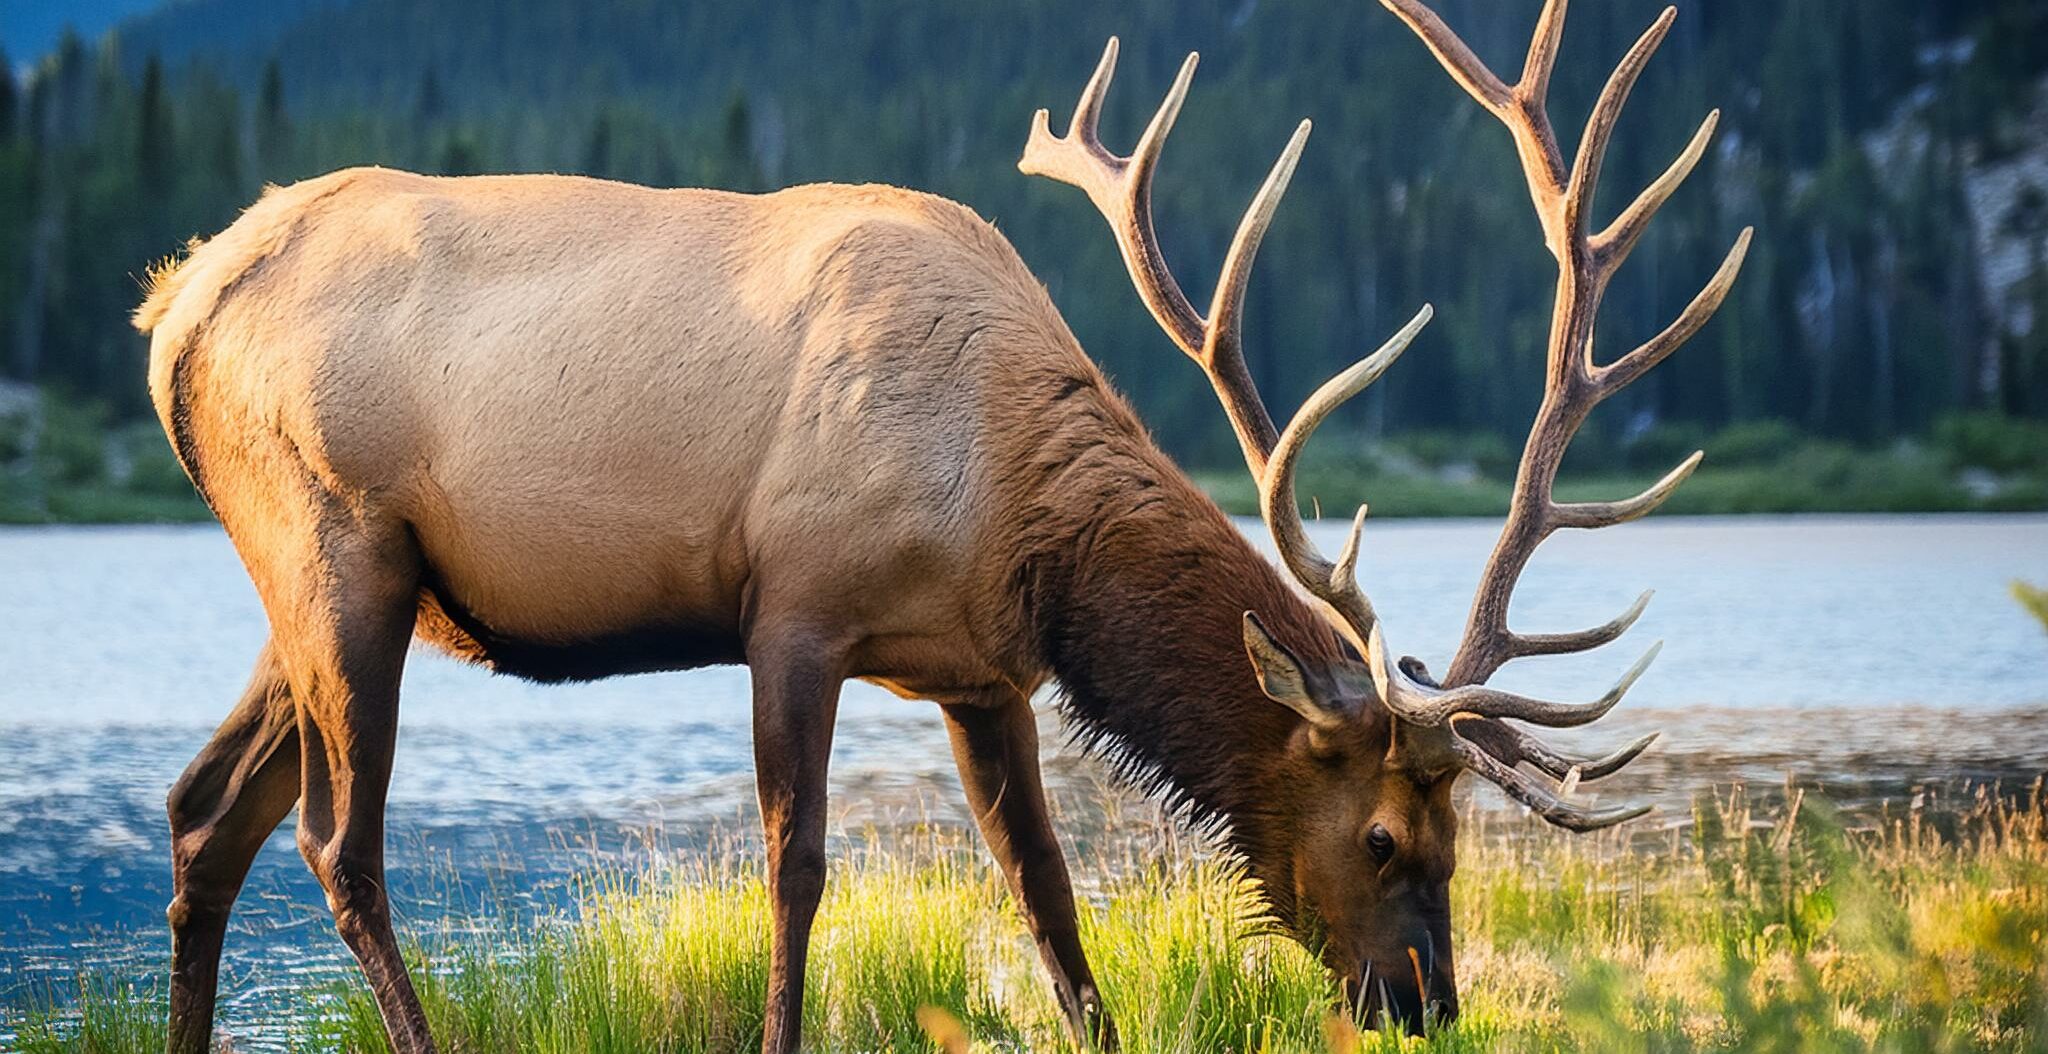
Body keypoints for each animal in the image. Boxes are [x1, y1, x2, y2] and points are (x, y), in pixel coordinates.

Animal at [140, 0, 1744, 1047]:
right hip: (340, 544)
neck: (1011, 502)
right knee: (337, 844)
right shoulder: (792, 609)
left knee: (206, 810)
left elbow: (1047, 899)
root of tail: (176, 308)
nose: (1428, 1004)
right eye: (1388, 836)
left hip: (335, 585)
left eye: (1462, 841)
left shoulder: (983, 674)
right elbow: (796, 871)